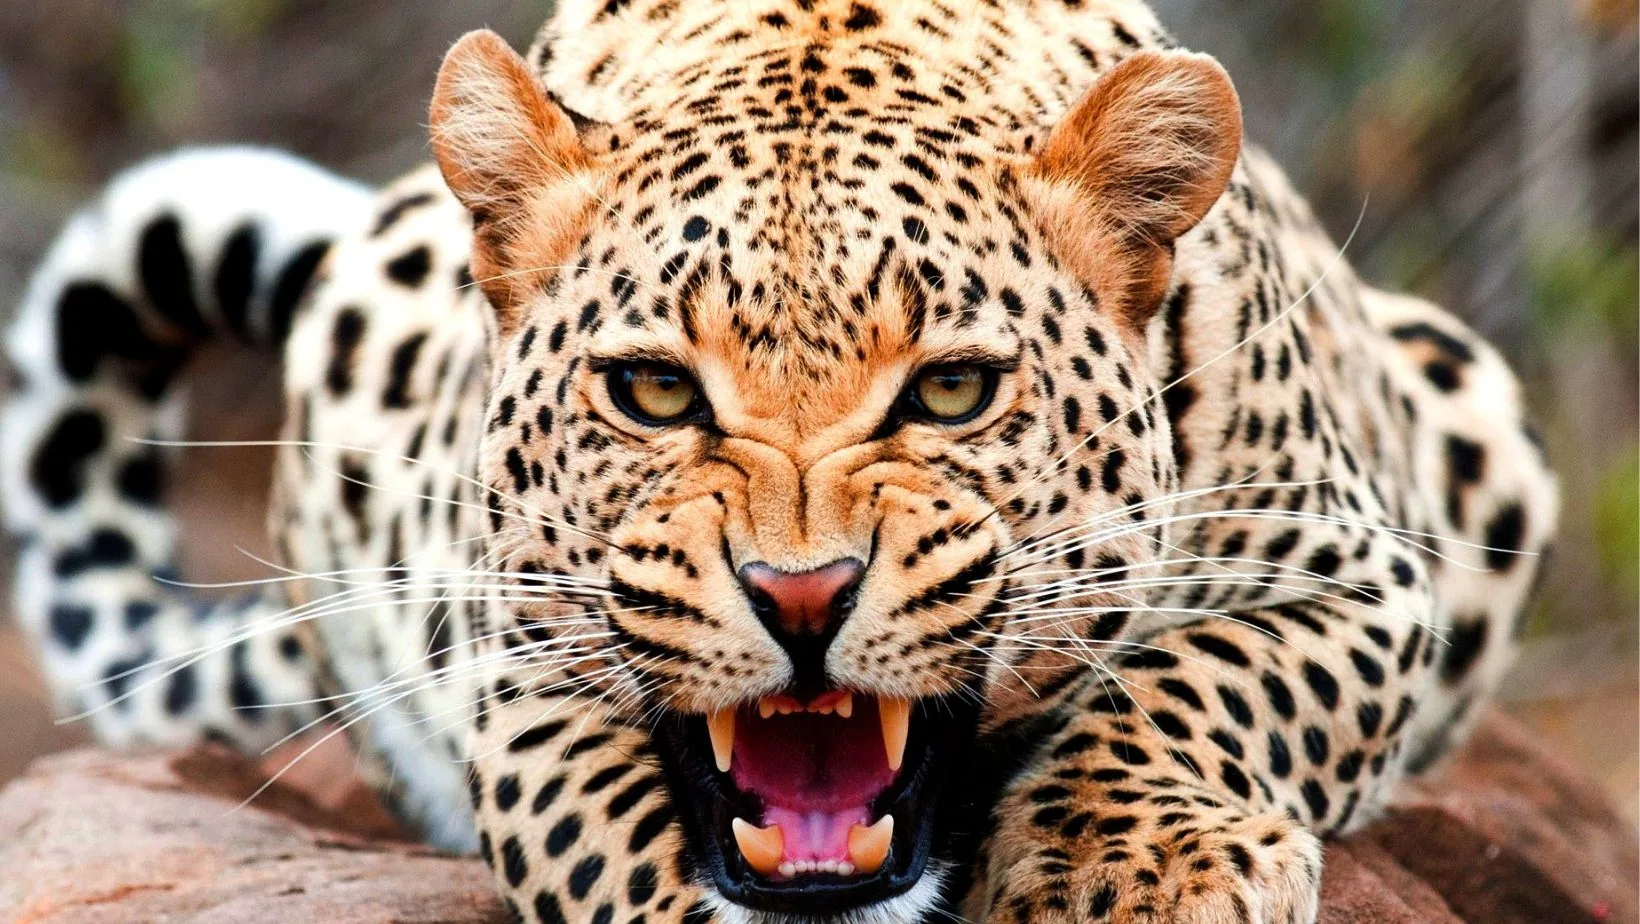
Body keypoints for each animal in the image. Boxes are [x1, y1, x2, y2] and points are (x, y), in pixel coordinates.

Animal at [1, 1, 1559, 922]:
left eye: (950, 389)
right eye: (649, 391)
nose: (801, 598)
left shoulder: (1364, 574)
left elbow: (1205, 679)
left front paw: (1133, 866)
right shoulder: (522, 677)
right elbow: (616, 840)